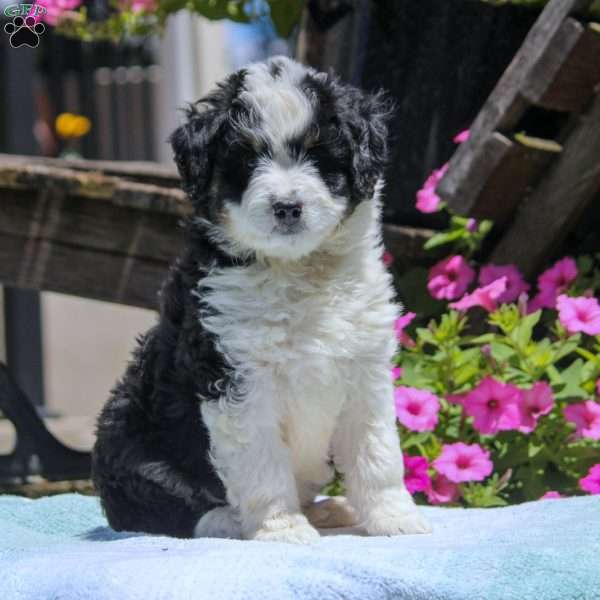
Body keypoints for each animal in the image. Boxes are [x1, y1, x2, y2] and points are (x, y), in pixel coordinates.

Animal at [91, 57, 432, 544]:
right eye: (248, 160)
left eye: (318, 156)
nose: (287, 207)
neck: (298, 272)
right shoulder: (235, 380)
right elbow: (263, 467)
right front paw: (281, 529)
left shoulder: (365, 372)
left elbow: (378, 454)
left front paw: (396, 519)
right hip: (131, 449)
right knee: (163, 509)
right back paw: (231, 522)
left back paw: (329, 510)